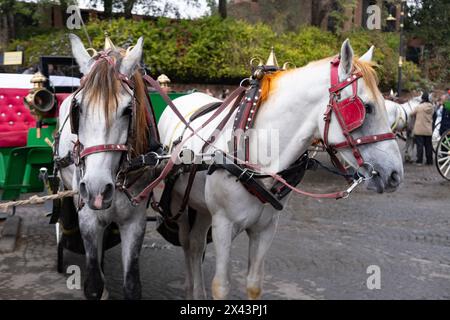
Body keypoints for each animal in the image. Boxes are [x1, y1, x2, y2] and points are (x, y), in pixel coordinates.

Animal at [55, 35, 155, 300]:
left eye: (129, 110)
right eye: (78, 109)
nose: (97, 190)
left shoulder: (135, 221)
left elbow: (132, 285)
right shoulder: (88, 217)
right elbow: (93, 285)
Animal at [158, 40, 404, 300]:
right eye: (367, 108)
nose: (395, 175)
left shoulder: (265, 228)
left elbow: (254, 284)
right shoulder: (223, 224)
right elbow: (221, 286)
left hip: (202, 207)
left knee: (196, 244)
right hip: (179, 202)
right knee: (187, 242)